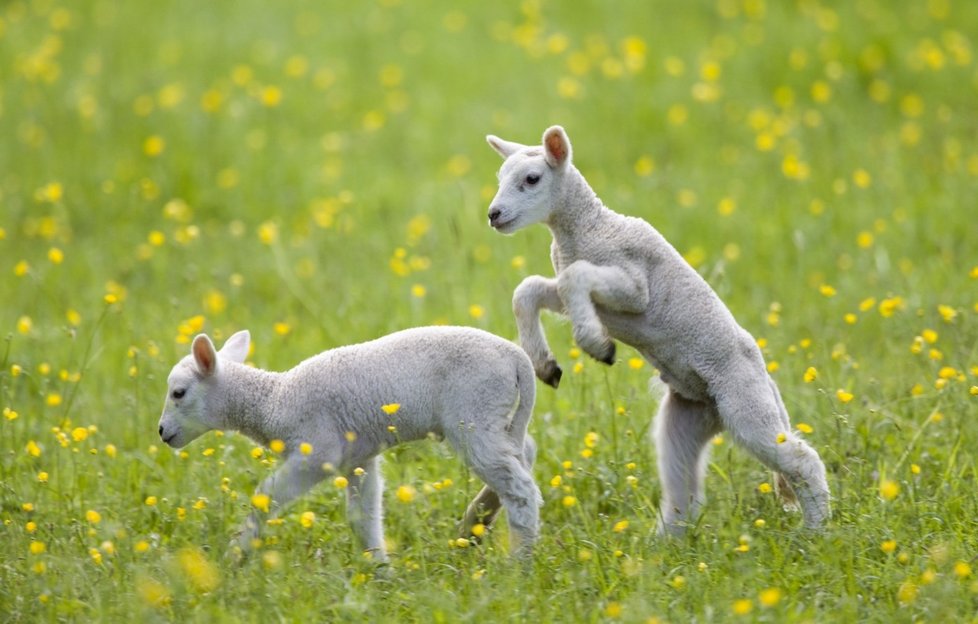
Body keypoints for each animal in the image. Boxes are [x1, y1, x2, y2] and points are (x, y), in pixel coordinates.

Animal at [158, 326, 540, 560]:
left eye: (178, 393)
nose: (162, 432)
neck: (274, 401)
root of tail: (517, 358)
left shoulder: (316, 451)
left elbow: (265, 496)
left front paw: (236, 556)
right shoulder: (358, 459)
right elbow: (362, 517)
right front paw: (381, 572)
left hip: (473, 412)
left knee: (520, 488)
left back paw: (519, 563)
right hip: (493, 417)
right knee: (524, 454)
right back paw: (475, 524)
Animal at [484, 127, 828, 536]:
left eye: (532, 179)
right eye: (500, 177)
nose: (493, 215)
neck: (587, 230)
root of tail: (767, 381)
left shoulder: (635, 287)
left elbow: (574, 277)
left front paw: (597, 345)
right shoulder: (592, 295)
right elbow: (530, 290)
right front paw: (545, 365)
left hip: (745, 403)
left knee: (802, 460)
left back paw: (815, 533)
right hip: (686, 419)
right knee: (683, 491)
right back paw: (662, 545)